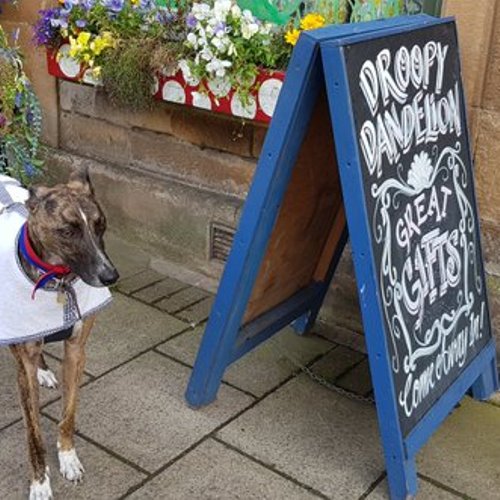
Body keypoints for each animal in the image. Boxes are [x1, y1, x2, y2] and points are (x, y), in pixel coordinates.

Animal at [10, 169, 120, 500]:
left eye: (101, 225)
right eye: (67, 231)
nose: (111, 276)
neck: (56, 281)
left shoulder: (76, 352)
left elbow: (68, 414)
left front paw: (68, 458)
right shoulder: (23, 368)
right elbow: (33, 434)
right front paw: (39, 483)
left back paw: (45, 371)